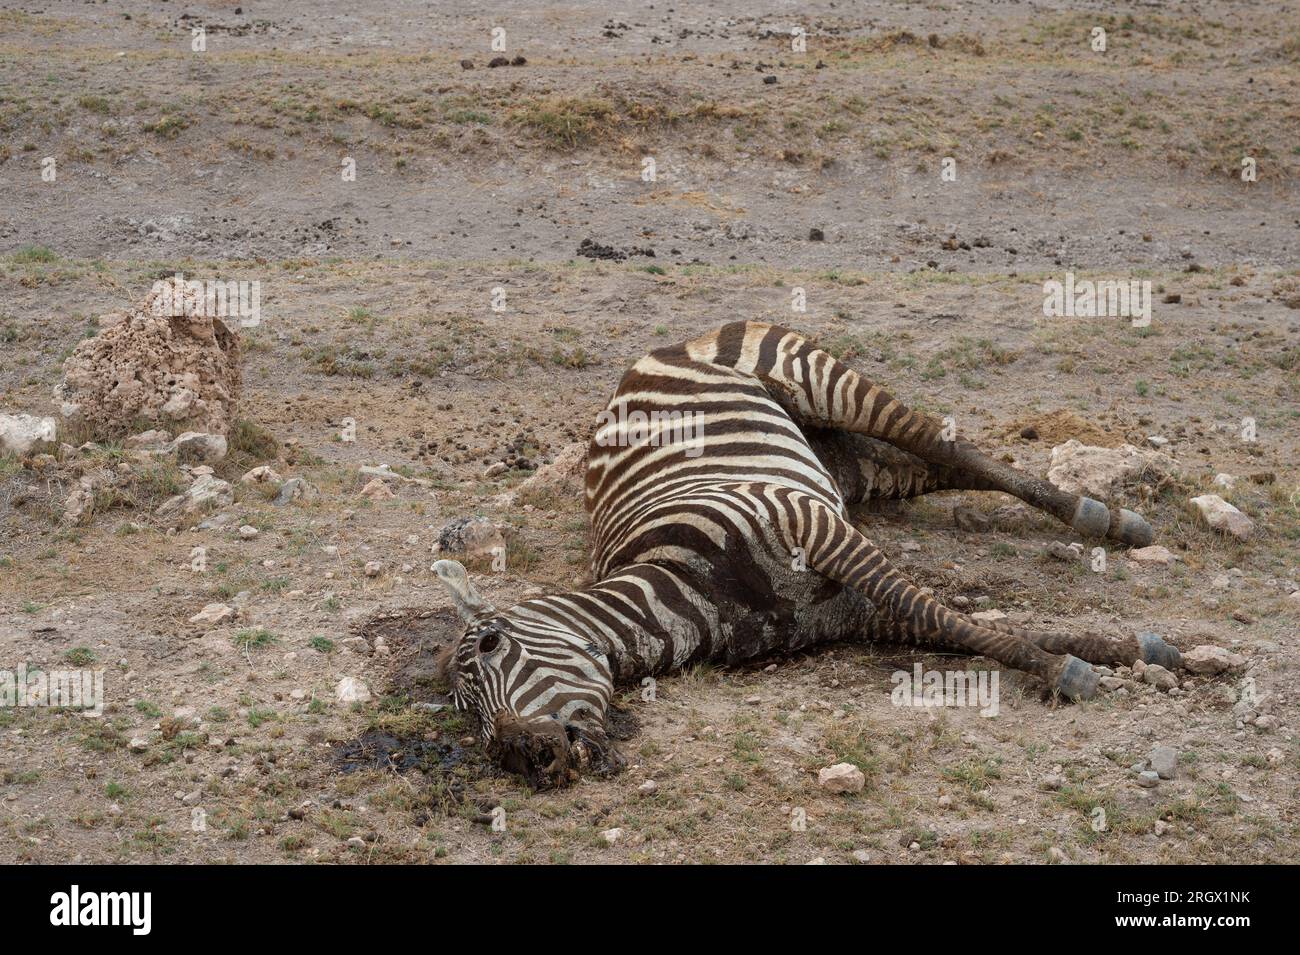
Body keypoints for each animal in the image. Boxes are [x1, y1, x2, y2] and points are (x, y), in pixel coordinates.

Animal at [432, 321, 1182, 788]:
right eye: (466, 712)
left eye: (492, 647)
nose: (523, 758)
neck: (685, 594)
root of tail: (652, 352)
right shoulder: (844, 612)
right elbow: (956, 624)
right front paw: (1132, 652)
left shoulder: (814, 526)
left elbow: (938, 611)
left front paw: (1070, 672)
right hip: (845, 465)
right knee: (931, 466)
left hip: (821, 383)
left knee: (946, 445)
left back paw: (1106, 518)